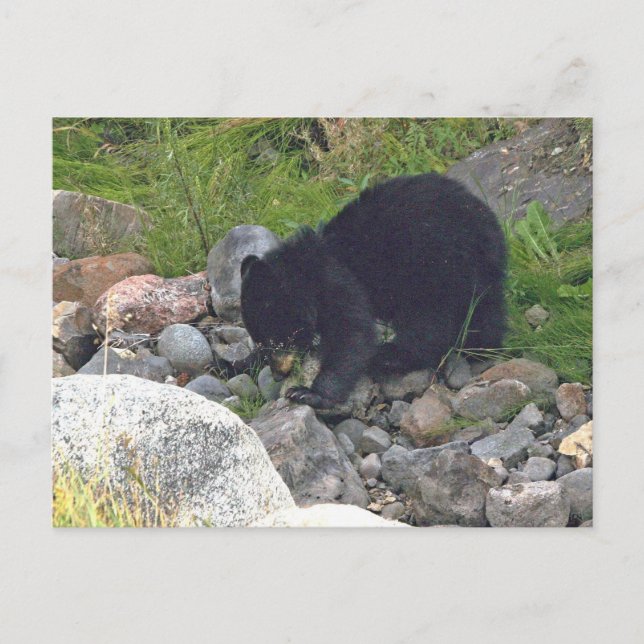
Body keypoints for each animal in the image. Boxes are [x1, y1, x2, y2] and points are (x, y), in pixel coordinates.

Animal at [240, 173, 507, 409]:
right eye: (262, 341)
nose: (277, 374)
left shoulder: (337, 281)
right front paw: (243, 363)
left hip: (437, 267)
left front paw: (309, 393)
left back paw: (390, 356)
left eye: (279, 339)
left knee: (430, 321)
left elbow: (352, 334)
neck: (306, 269)